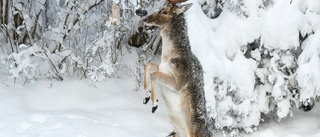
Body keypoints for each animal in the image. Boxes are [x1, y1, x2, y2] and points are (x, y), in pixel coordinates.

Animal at [142, 0, 212, 136]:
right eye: (160, 7)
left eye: (165, 11)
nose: (145, 18)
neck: (167, 57)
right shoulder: (161, 67)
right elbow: (148, 65)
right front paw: (146, 97)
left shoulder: (179, 81)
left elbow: (154, 74)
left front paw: (154, 104)